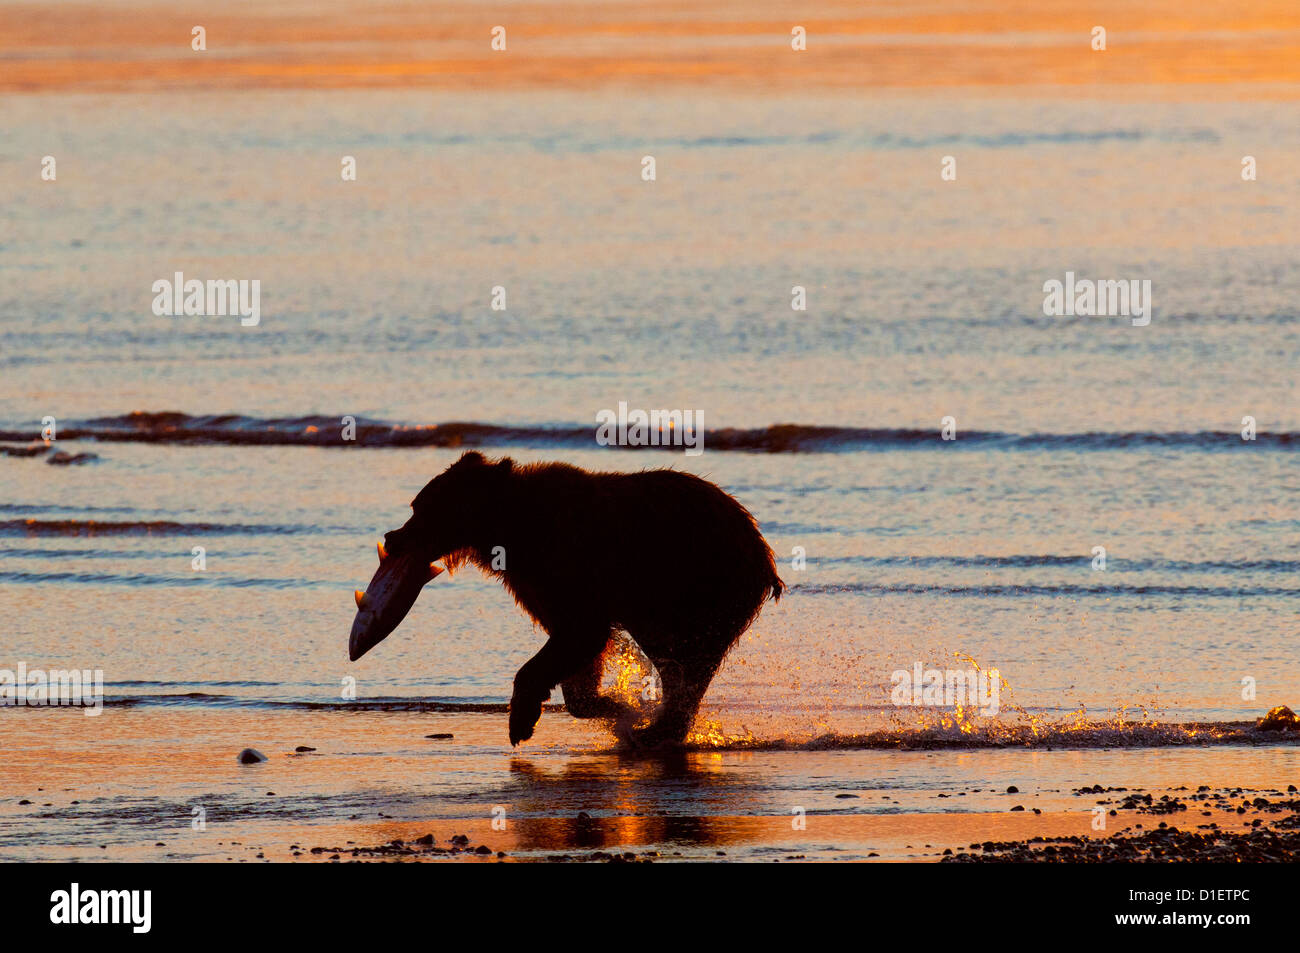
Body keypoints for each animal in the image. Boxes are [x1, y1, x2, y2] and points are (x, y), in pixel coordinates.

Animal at [377, 449, 780, 748]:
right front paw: (609, 704)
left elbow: (580, 634)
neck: (510, 528)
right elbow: (576, 646)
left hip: (694, 586)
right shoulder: (538, 586)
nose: (391, 537)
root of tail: (763, 554)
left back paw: (657, 731)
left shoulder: (570, 569)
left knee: (685, 661)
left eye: (420, 508)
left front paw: (522, 720)